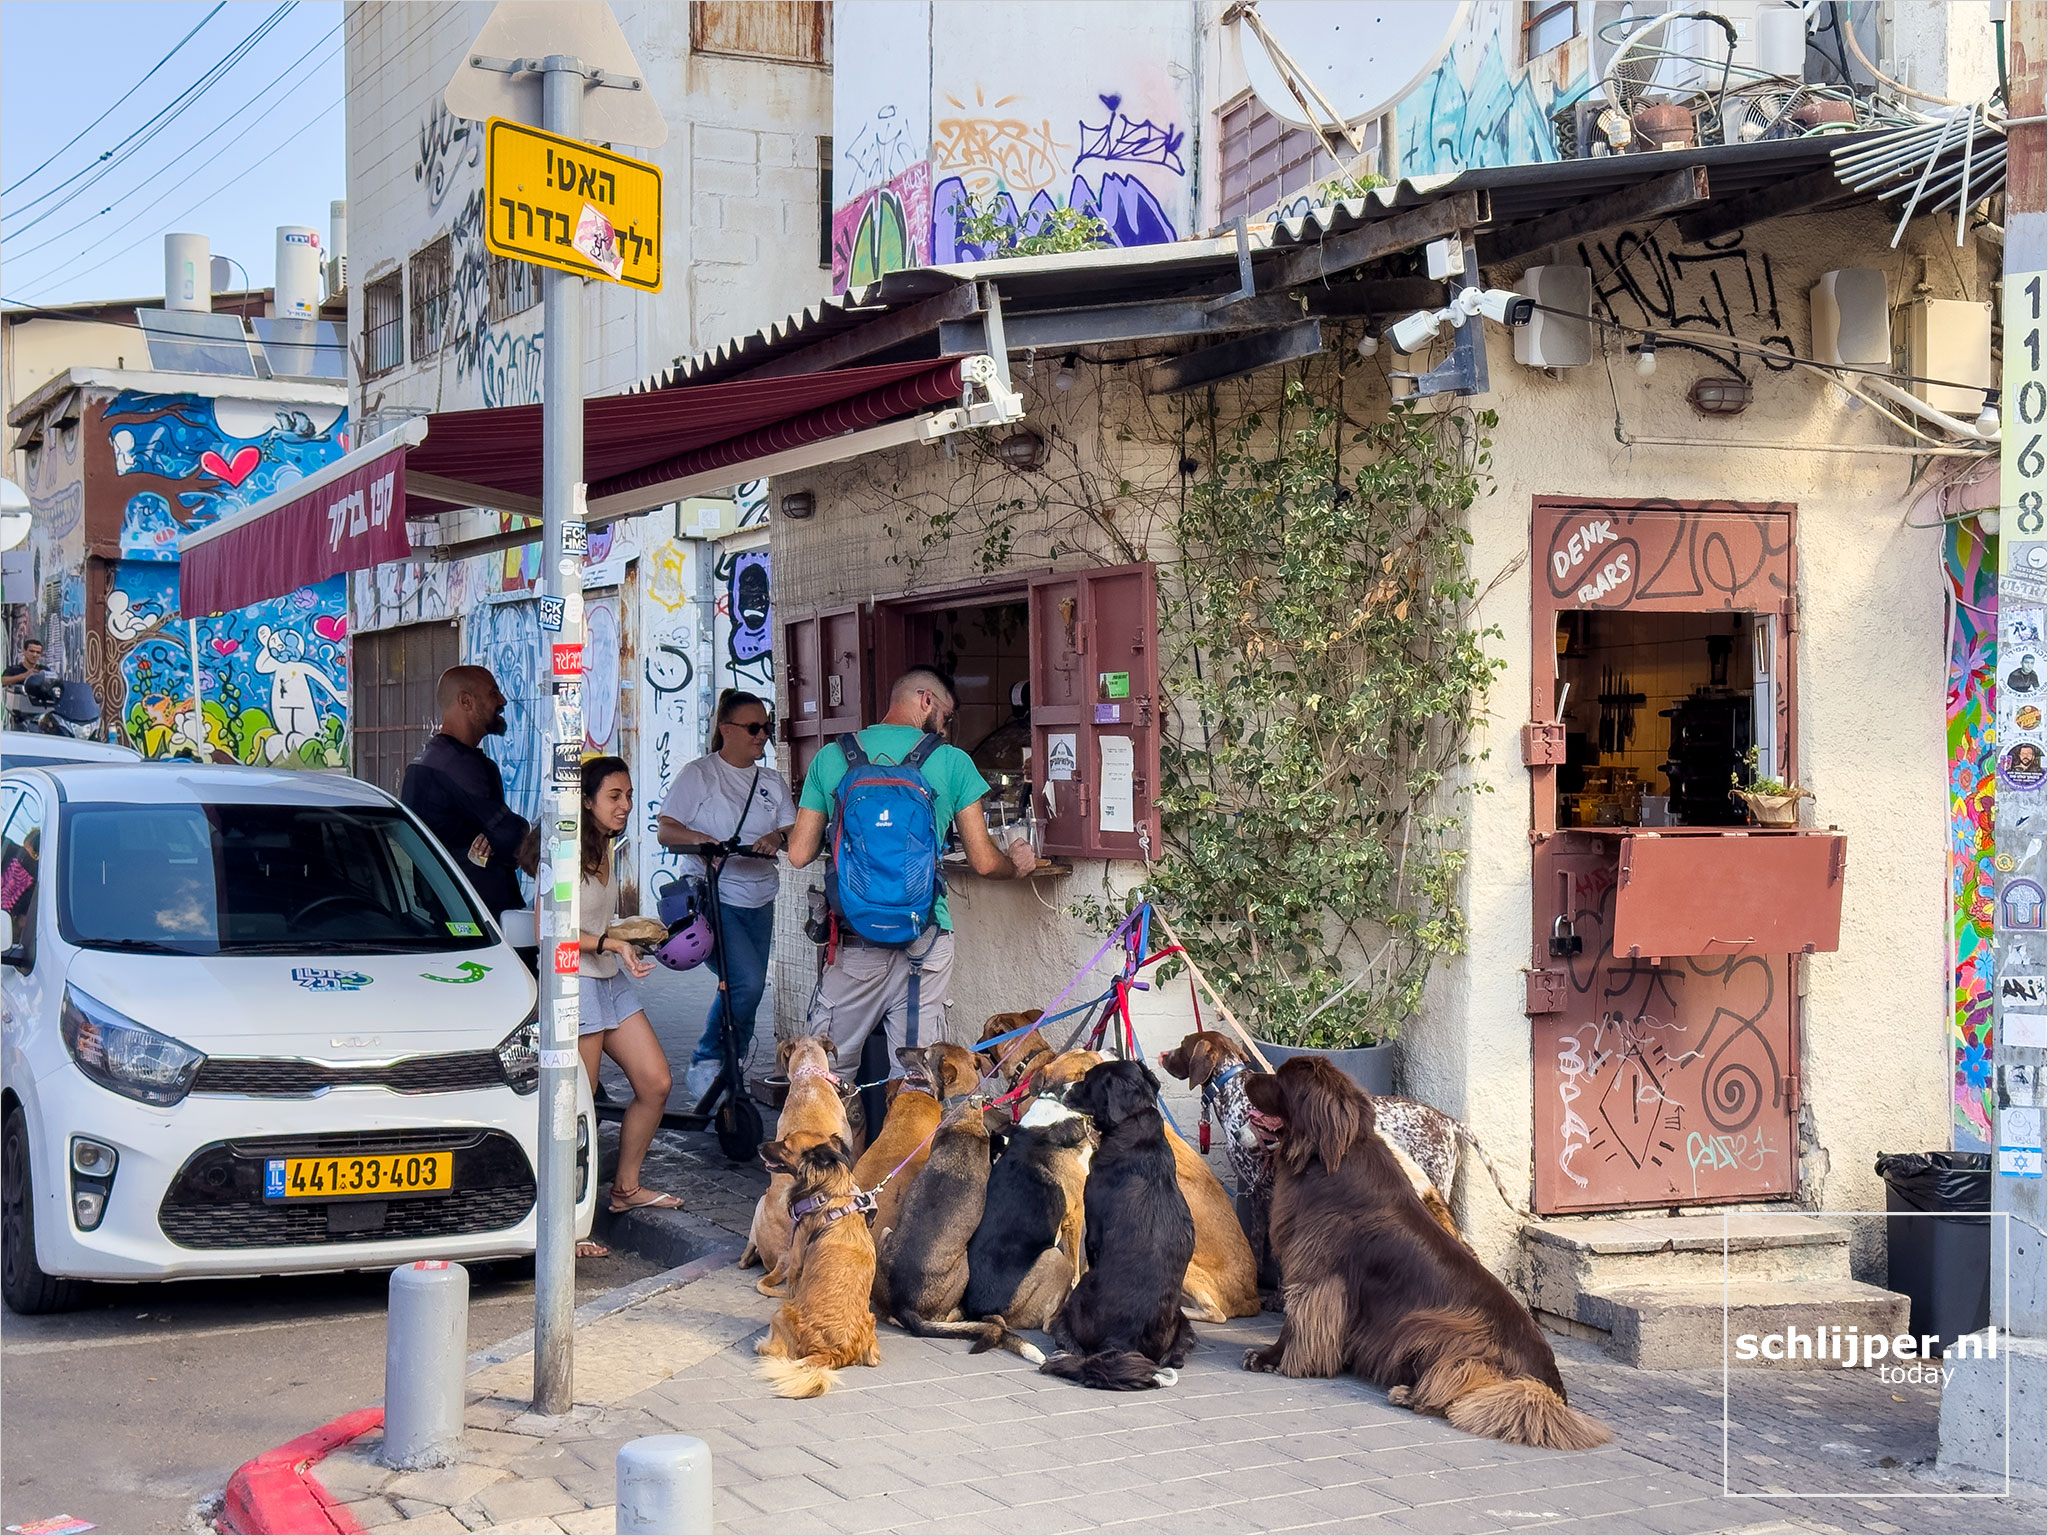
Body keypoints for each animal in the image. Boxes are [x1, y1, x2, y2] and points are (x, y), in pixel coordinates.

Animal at [753, 1138, 880, 1400]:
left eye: (785, 1145)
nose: (759, 1146)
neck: (830, 1194)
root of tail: (832, 1354)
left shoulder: (796, 1263)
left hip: (781, 1312)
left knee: (778, 1350)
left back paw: (762, 1344)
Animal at [1048, 1064, 1196, 1392]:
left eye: (1087, 1082)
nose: (1062, 1088)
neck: (1134, 1125)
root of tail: (1121, 1344)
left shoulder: (1093, 1231)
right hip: (1181, 1320)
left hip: (1083, 1290)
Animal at [1236, 1056, 1605, 1458]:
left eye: (1280, 1079)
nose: (1246, 1074)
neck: (1324, 1157)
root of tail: (1550, 1386)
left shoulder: (1316, 1274)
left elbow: (1295, 1323)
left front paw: (1270, 1359)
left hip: (1436, 1324)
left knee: (1457, 1383)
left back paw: (1410, 1394)